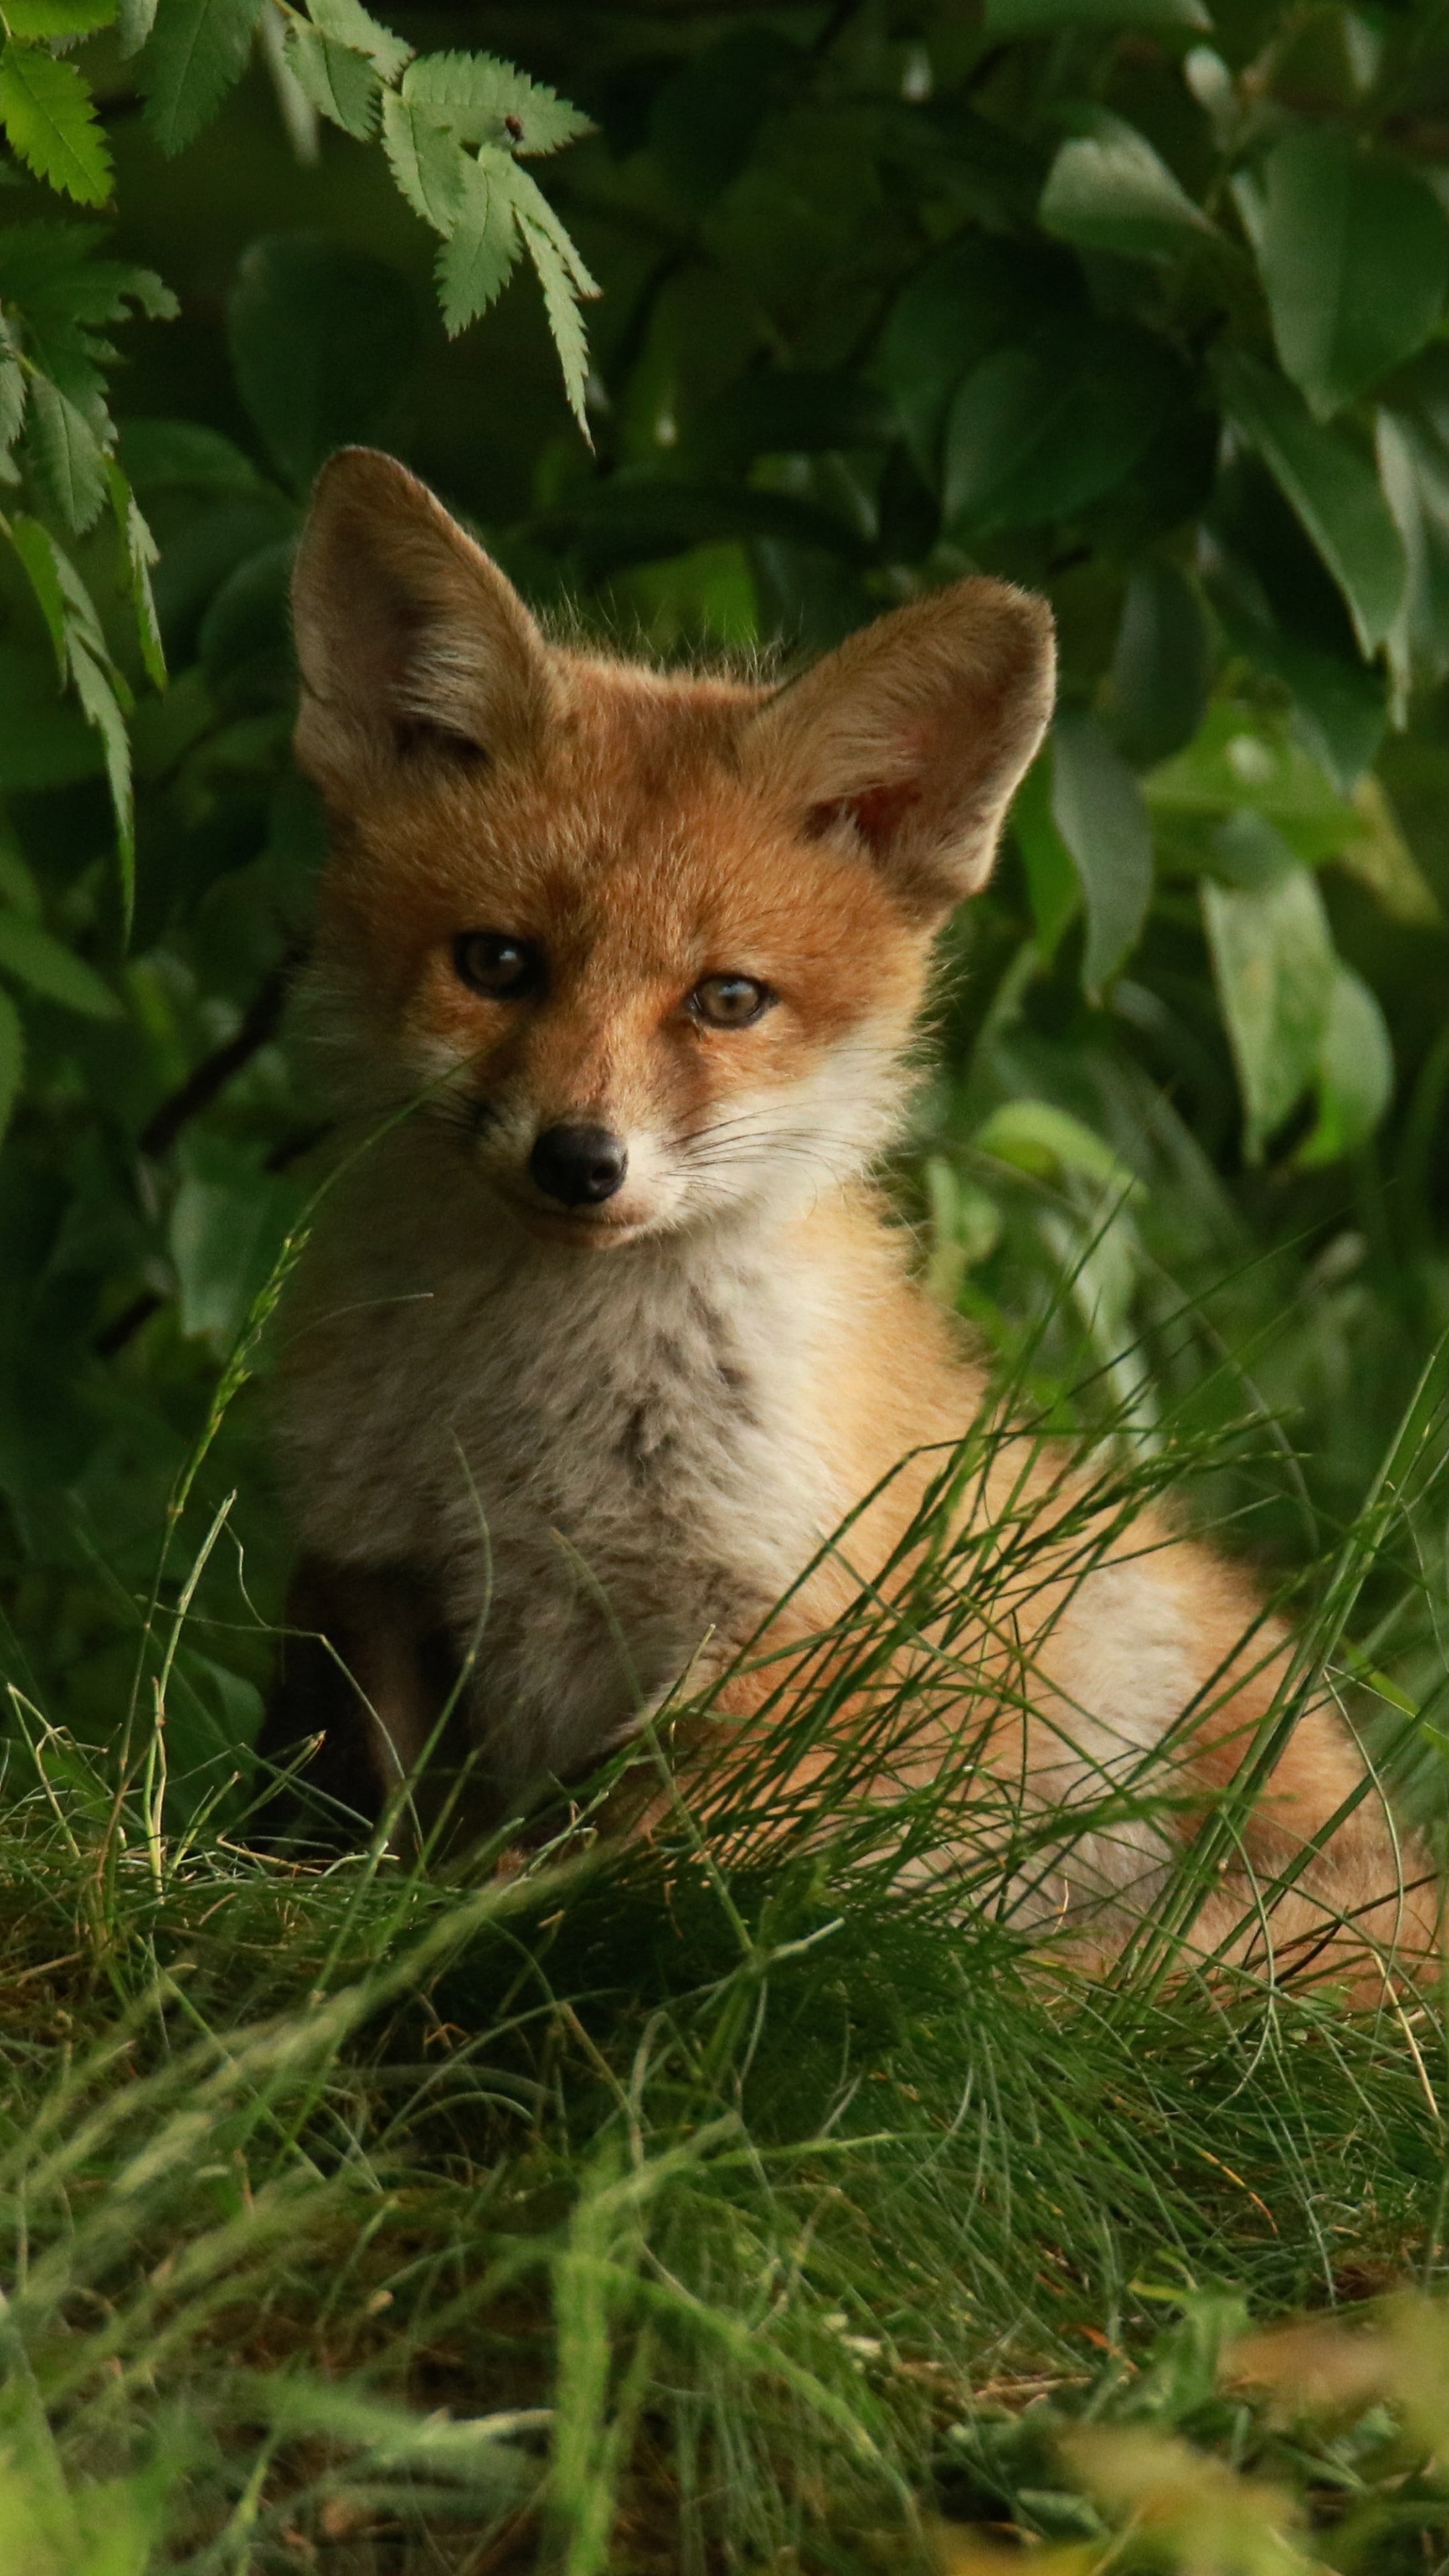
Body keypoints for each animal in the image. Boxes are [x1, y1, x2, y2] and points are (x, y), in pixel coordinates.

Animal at [257, 444, 1438, 1989]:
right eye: (498, 963)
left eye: (728, 999)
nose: (582, 1161)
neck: (531, 1432)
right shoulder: (376, 1567)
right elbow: (384, 1829)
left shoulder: (781, 1631)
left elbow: (637, 1866)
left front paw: (525, 1925)